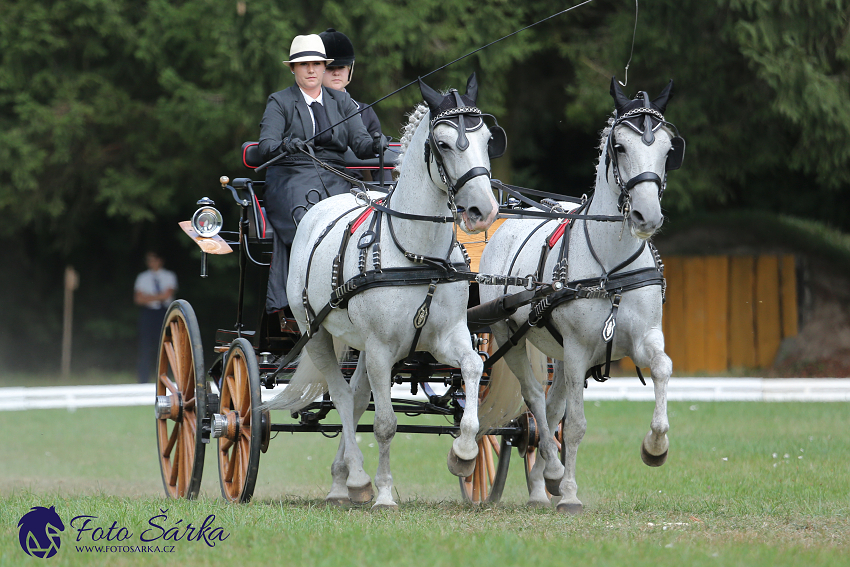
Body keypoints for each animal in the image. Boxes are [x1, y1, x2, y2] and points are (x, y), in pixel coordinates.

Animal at [264, 73, 500, 512]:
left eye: (488, 139)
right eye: (443, 144)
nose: (484, 211)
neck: (418, 254)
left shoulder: (447, 337)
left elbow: (474, 368)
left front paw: (464, 454)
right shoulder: (380, 348)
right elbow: (386, 424)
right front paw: (385, 493)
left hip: (357, 344)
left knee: (355, 397)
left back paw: (341, 479)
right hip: (317, 334)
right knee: (342, 397)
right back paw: (357, 478)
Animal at [476, 77, 684, 512]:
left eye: (668, 149)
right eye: (620, 146)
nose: (648, 217)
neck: (610, 267)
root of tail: (508, 220)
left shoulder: (642, 337)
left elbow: (662, 368)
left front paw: (655, 446)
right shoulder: (577, 349)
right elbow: (574, 426)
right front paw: (569, 492)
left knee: (549, 409)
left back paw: (544, 482)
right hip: (511, 338)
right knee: (537, 401)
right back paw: (552, 474)